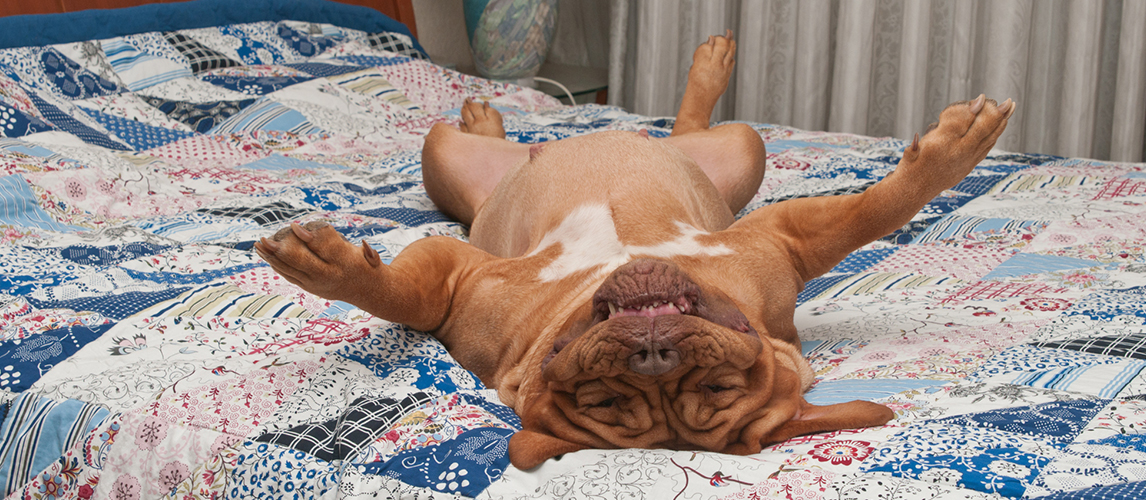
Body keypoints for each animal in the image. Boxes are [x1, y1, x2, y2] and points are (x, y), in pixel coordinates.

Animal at [257, 33, 1013, 470]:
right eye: (598, 398)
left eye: (720, 387)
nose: (653, 353)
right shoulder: (459, 282)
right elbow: (397, 291)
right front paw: (325, 265)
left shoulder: (779, 244)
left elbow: (876, 210)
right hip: (442, 155)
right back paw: (488, 114)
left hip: (737, 150)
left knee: (686, 128)